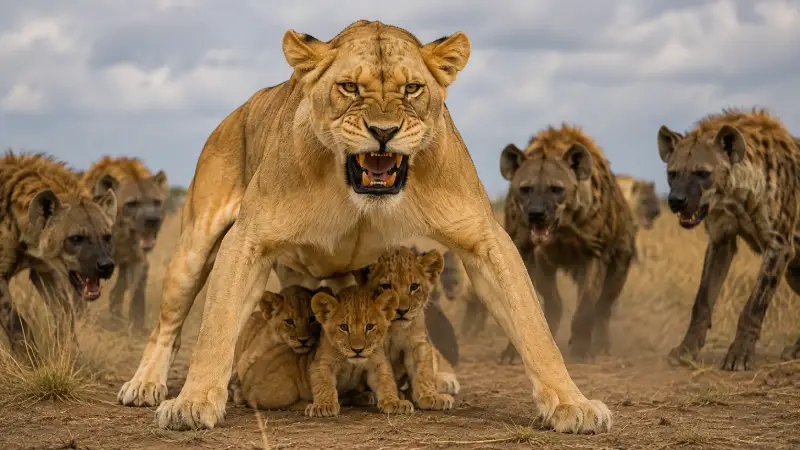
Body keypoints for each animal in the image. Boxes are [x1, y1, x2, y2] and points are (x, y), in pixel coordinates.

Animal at [0, 152, 117, 353]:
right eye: (76, 238)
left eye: (107, 237)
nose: (106, 265)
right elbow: (15, 320)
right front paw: (31, 358)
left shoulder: (45, 269)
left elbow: (65, 311)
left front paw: (70, 353)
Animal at [81, 156, 169, 330]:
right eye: (131, 204)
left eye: (156, 202)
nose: (152, 220)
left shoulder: (137, 258)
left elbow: (131, 291)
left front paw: (132, 326)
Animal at [354, 246, 458, 409]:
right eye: (386, 286)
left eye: (414, 286)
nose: (402, 311)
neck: (396, 329)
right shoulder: (376, 348)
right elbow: (385, 374)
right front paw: (394, 400)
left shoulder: (417, 343)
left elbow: (423, 370)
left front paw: (430, 397)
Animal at [498, 124, 637, 363]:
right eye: (525, 189)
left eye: (556, 189)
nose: (536, 214)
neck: (563, 229)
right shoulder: (526, 250)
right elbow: (537, 300)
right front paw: (515, 352)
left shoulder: (596, 252)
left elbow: (587, 304)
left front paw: (581, 349)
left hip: (621, 260)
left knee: (605, 304)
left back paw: (601, 346)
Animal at [658, 108, 800, 371]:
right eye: (672, 174)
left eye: (702, 173)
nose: (676, 200)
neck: (735, 199)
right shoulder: (720, 238)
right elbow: (702, 301)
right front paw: (684, 351)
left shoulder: (779, 244)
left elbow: (754, 306)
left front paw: (739, 356)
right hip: (794, 273)